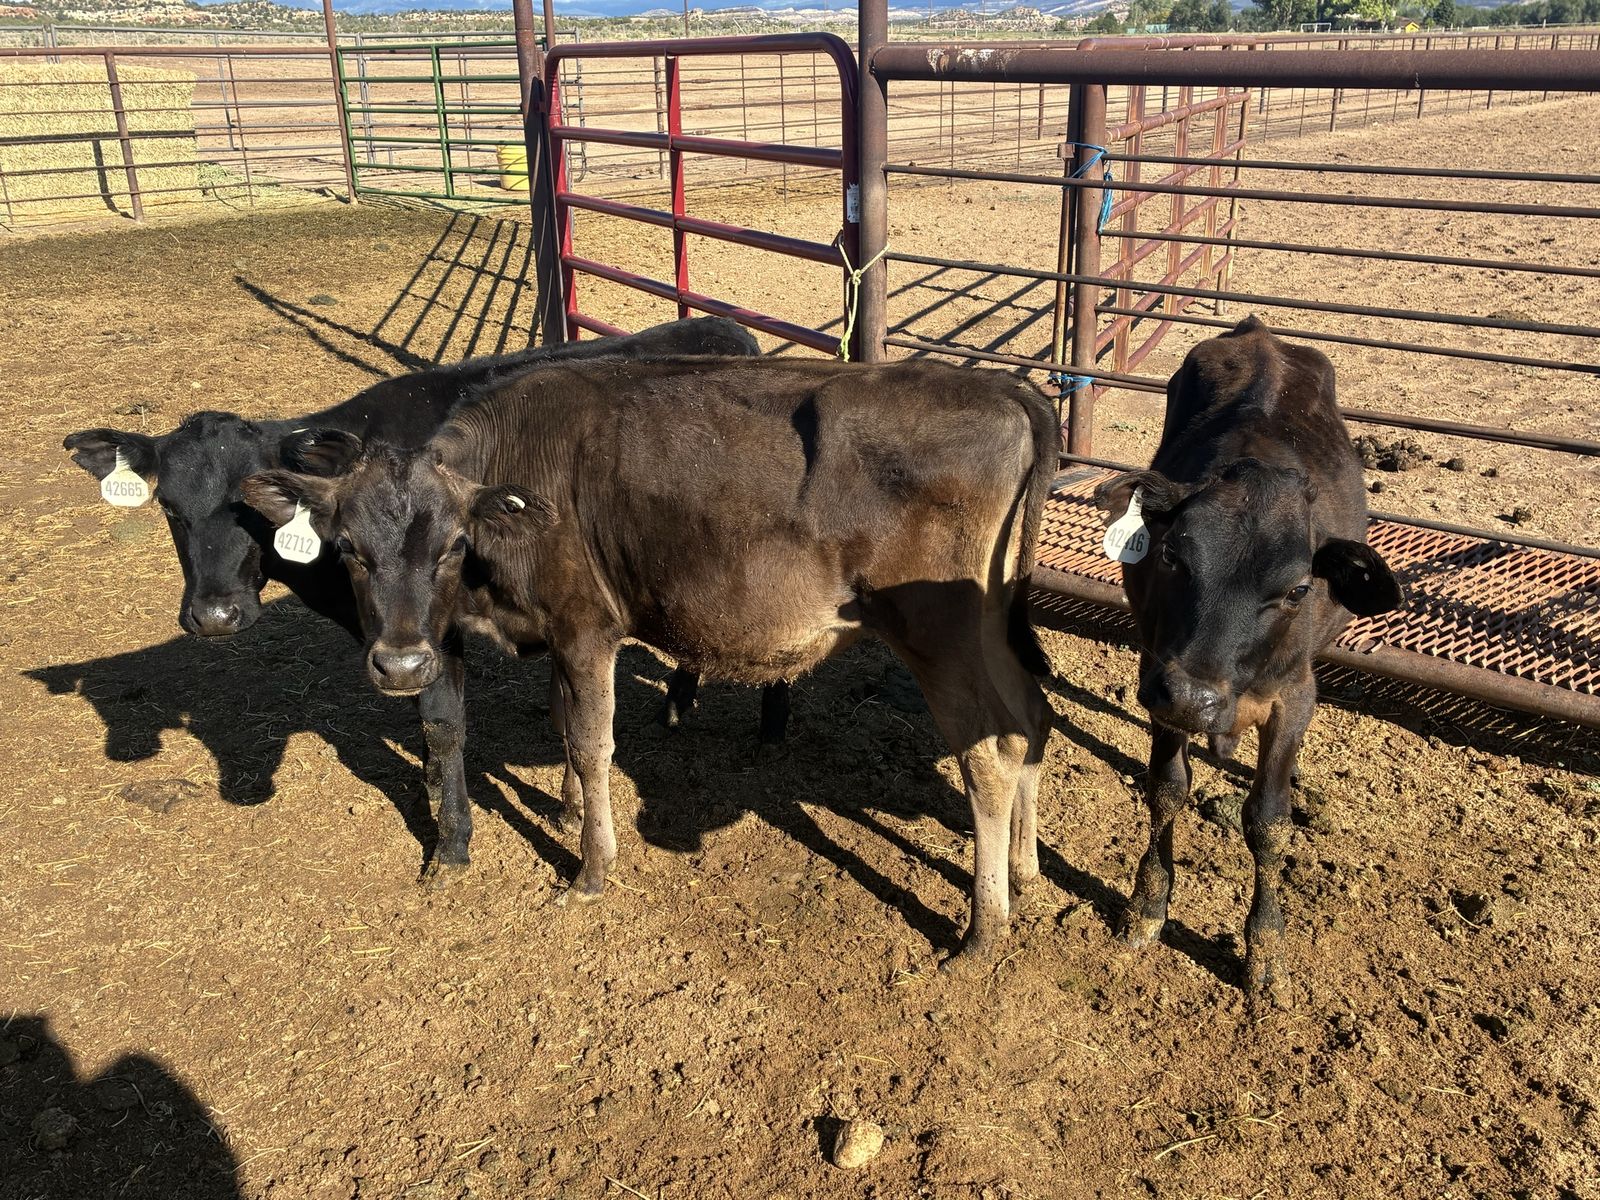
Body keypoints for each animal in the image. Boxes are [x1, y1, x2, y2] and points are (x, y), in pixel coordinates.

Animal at [62, 317, 786, 869]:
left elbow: (443, 725)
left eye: (252, 511)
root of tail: (724, 328)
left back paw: (769, 729)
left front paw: (452, 841)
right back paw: (680, 702)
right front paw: (435, 797)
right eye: (170, 508)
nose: (214, 615)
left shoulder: (441, 629)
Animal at [241, 357, 1060, 969]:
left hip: (940, 634)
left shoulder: (586, 626)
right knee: (1032, 717)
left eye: (451, 545)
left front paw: (590, 866)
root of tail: (1005, 389)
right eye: (349, 548)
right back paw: (1025, 869)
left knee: (989, 752)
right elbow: (561, 719)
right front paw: (568, 808)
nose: (403, 665)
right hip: (992, 626)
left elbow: (590, 740)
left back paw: (983, 928)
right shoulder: (557, 634)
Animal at [1093, 316, 1402, 1011]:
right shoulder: (1157, 674)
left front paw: (1265, 949)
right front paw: (1148, 904)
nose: (1195, 699)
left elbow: (1267, 821)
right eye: (1172, 556)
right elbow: (1166, 788)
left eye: (1297, 589)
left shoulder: (1295, 698)